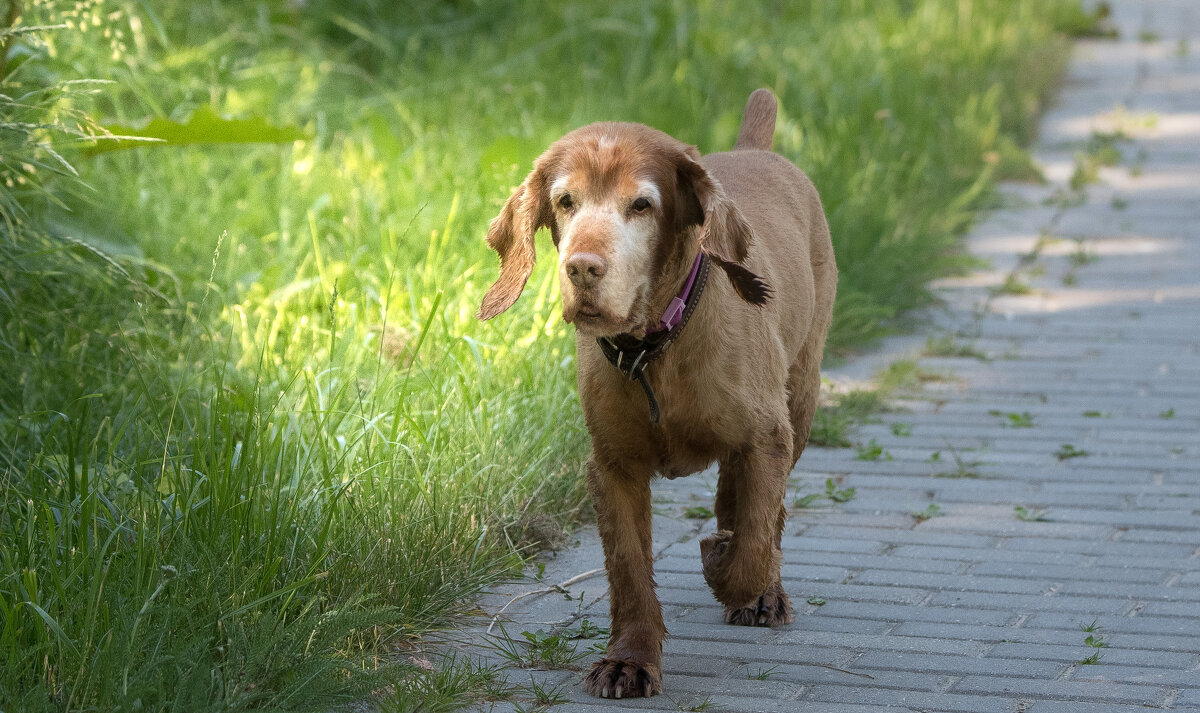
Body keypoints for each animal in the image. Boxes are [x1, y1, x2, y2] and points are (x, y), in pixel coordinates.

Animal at [475, 87, 835, 696]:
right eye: (565, 201)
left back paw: (761, 585)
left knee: (768, 511)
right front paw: (630, 660)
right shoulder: (613, 465)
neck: (653, 350)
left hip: (802, 396)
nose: (581, 268)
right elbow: (629, 572)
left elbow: (753, 547)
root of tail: (755, 150)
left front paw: (725, 563)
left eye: (641, 206)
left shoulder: (767, 436)